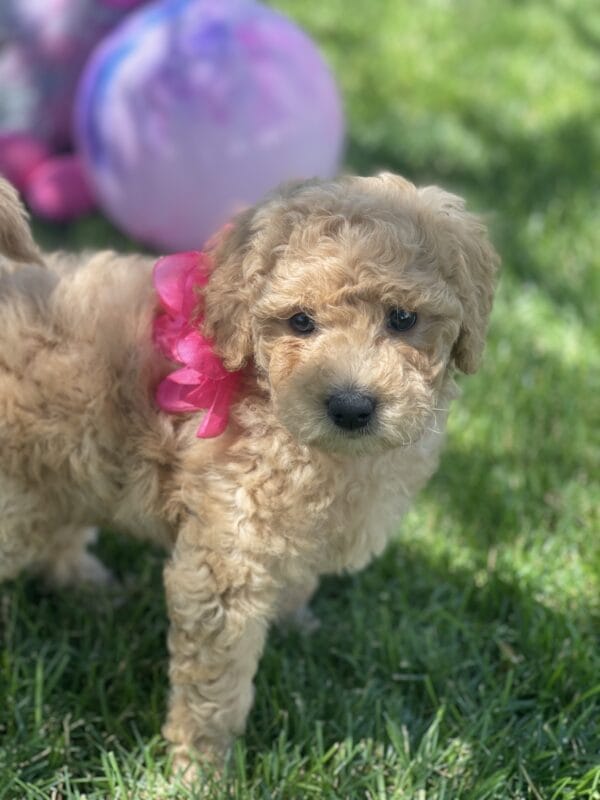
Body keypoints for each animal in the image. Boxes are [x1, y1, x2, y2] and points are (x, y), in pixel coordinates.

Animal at [0, 173, 496, 776]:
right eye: (300, 322)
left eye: (403, 318)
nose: (352, 406)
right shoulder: (225, 558)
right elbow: (216, 684)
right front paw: (200, 766)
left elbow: (298, 577)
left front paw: (294, 619)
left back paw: (86, 582)